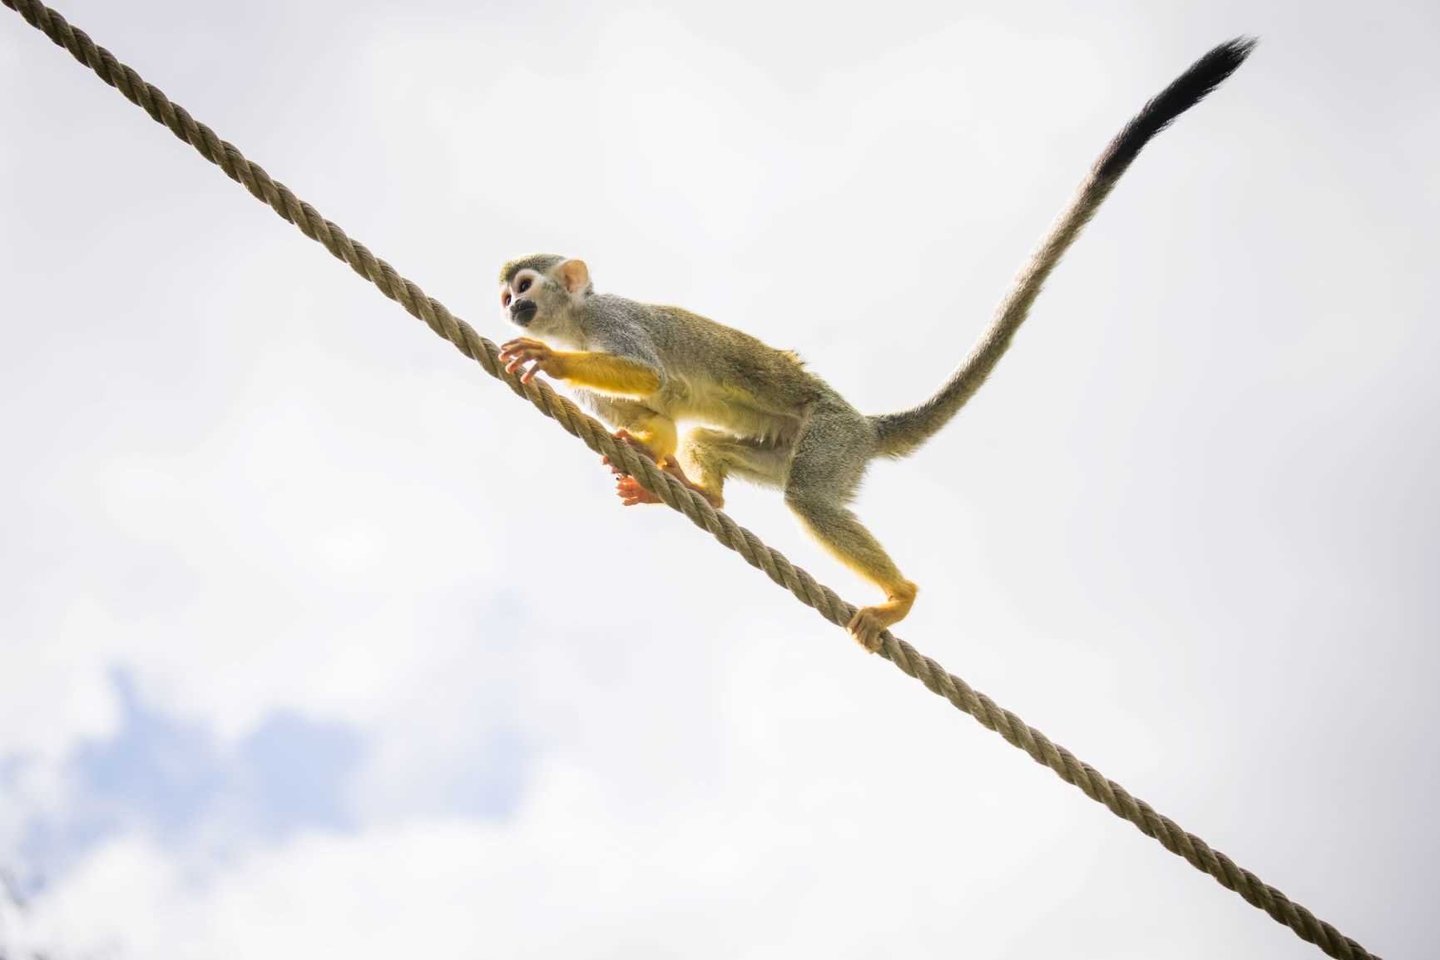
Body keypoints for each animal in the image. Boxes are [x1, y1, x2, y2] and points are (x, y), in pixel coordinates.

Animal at [496, 38, 1254, 652]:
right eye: (506, 296)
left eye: (526, 287)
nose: (514, 308)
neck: (577, 321)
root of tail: (865, 423)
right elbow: (654, 413)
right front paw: (650, 448)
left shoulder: (614, 319)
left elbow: (650, 376)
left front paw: (552, 361)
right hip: (792, 444)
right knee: (726, 446)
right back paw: (704, 489)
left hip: (830, 439)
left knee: (810, 496)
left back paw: (900, 596)